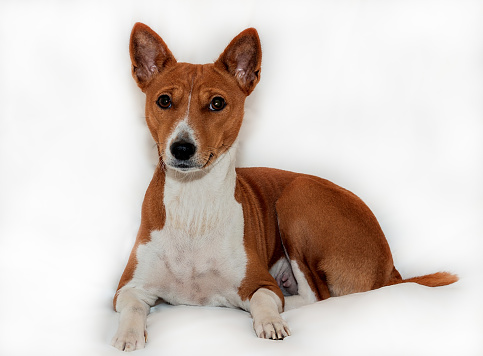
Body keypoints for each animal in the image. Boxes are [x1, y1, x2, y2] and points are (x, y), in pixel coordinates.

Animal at [111, 23, 460, 352]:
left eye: (217, 103)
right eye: (164, 100)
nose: (182, 148)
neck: (194, 206)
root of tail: (390, 268)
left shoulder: (259, 282)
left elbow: (265, 299)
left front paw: (270, 321)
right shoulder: (127, 288)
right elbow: (131, 308)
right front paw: (128, 335)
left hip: (297, 198)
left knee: (317, 295)